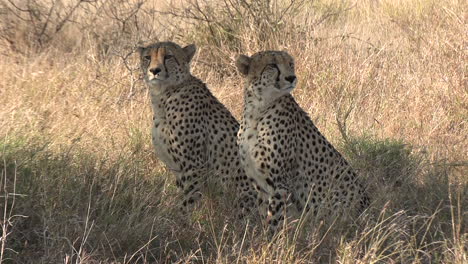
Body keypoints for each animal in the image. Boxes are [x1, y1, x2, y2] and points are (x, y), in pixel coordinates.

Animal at [138, 42, 256, 217]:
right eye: (147, 57)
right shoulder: (178, 169)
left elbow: (188, 200)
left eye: (168, 56)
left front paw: (177, 220)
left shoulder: (194, 166)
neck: (163, 97)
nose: (154, 71)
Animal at [236, 50, 368, 235]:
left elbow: (274, 220)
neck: (257, 110)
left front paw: (271, 241)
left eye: (290, 64)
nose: (291, 77)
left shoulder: (280, 185)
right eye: (272, 65)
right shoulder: (259, 184)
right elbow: (264, 216)